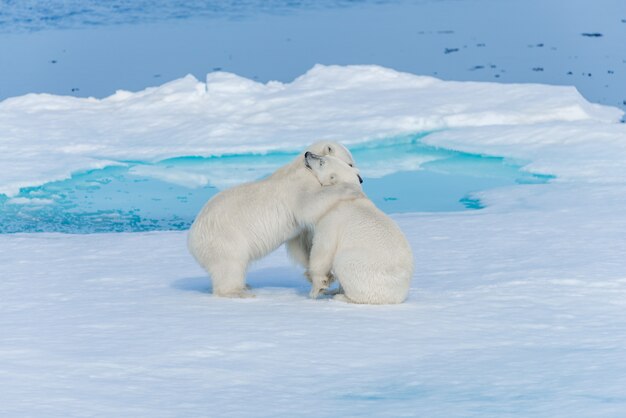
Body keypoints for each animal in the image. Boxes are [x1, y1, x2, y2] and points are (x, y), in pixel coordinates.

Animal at [186, 143, 356, 298]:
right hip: (224, 239)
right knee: (230, 264)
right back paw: (238, 292)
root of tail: (192, 241)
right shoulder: (298, 187)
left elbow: (299, 245)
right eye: (350, 164)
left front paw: (325, 276)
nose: (360, 179)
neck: (303, 168)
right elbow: (309, 205)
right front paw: (347, 188)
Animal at [304, 153, 414, 304]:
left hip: (362, 267)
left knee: (343, 262)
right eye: (324, 156)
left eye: (322, 162)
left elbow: (323, 250)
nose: (307, 154)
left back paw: (342, 296)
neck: (349, 196)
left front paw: (315, 290)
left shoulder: (333, 218)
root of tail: (397, 296)